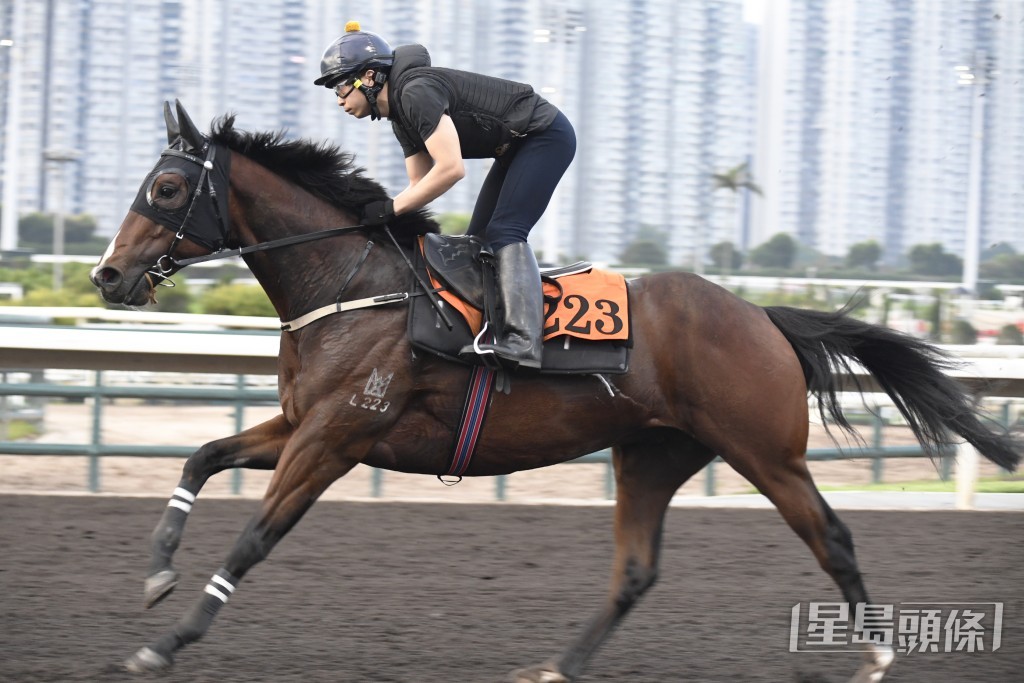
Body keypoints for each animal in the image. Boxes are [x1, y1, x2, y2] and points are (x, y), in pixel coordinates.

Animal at [90, 101, 1020, 682]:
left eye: (166, 188)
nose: (107, 276)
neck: (353, 284)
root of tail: (759, 312)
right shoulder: (300, 422)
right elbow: (201, 454)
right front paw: (155, 574)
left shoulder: (335, 437)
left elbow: (253, 538)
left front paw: (164, 643)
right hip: (651, 453)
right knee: (635, 569)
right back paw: (558, 665)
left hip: (765, 449)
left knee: (831, 535)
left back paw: (877, 655)